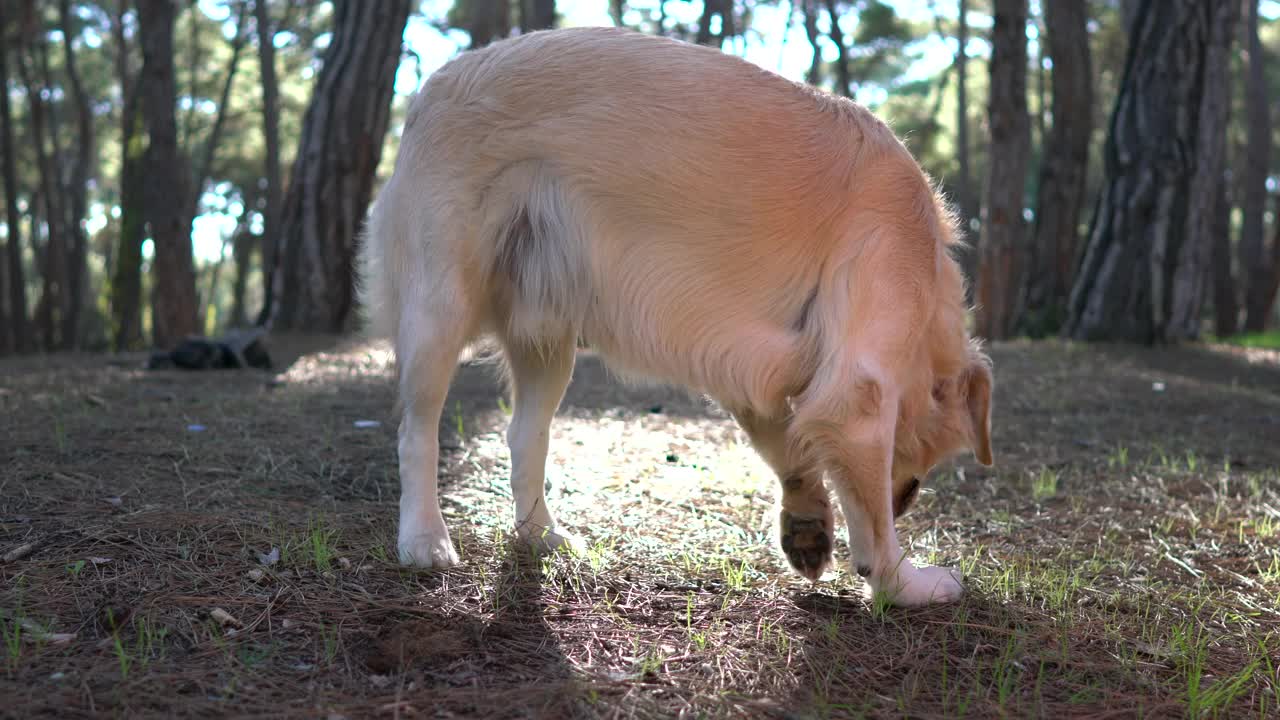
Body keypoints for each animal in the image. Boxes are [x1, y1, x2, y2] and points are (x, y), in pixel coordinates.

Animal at [355, 25, 993, 602]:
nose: (907, 501)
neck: (925, 259)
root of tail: (429, 88)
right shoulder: (858, 395)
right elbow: (874, 526)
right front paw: (904, 582)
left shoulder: (753, 371)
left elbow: (791, 446)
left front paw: (807, 523)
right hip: (439, 313)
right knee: (417, 433)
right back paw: (425, 539)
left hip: (547, 340)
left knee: (523, 437)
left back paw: (541, 534)